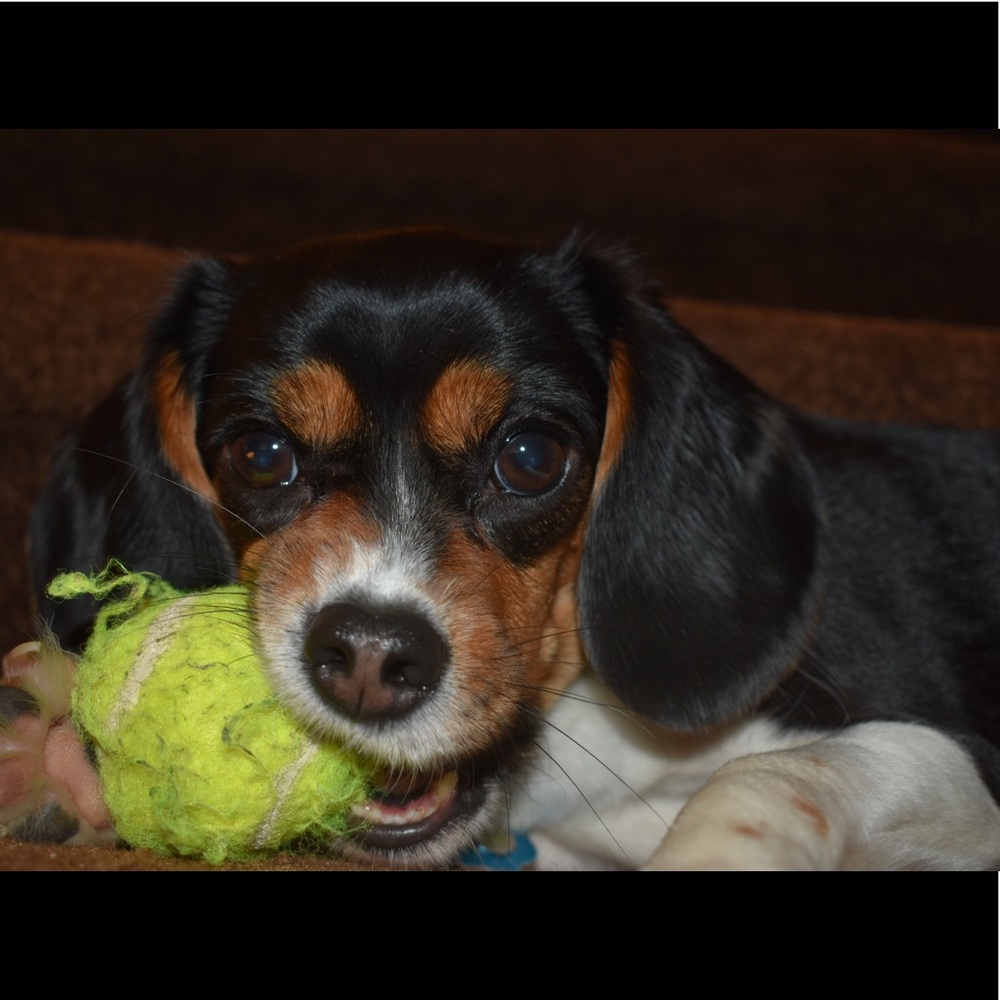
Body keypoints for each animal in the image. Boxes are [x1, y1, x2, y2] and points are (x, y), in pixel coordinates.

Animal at [3, 228, 999, 868]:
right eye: (260, 454)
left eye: (529, 456)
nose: (370, 658)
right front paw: (59, 765)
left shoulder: (952, 759)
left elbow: (761, 777)